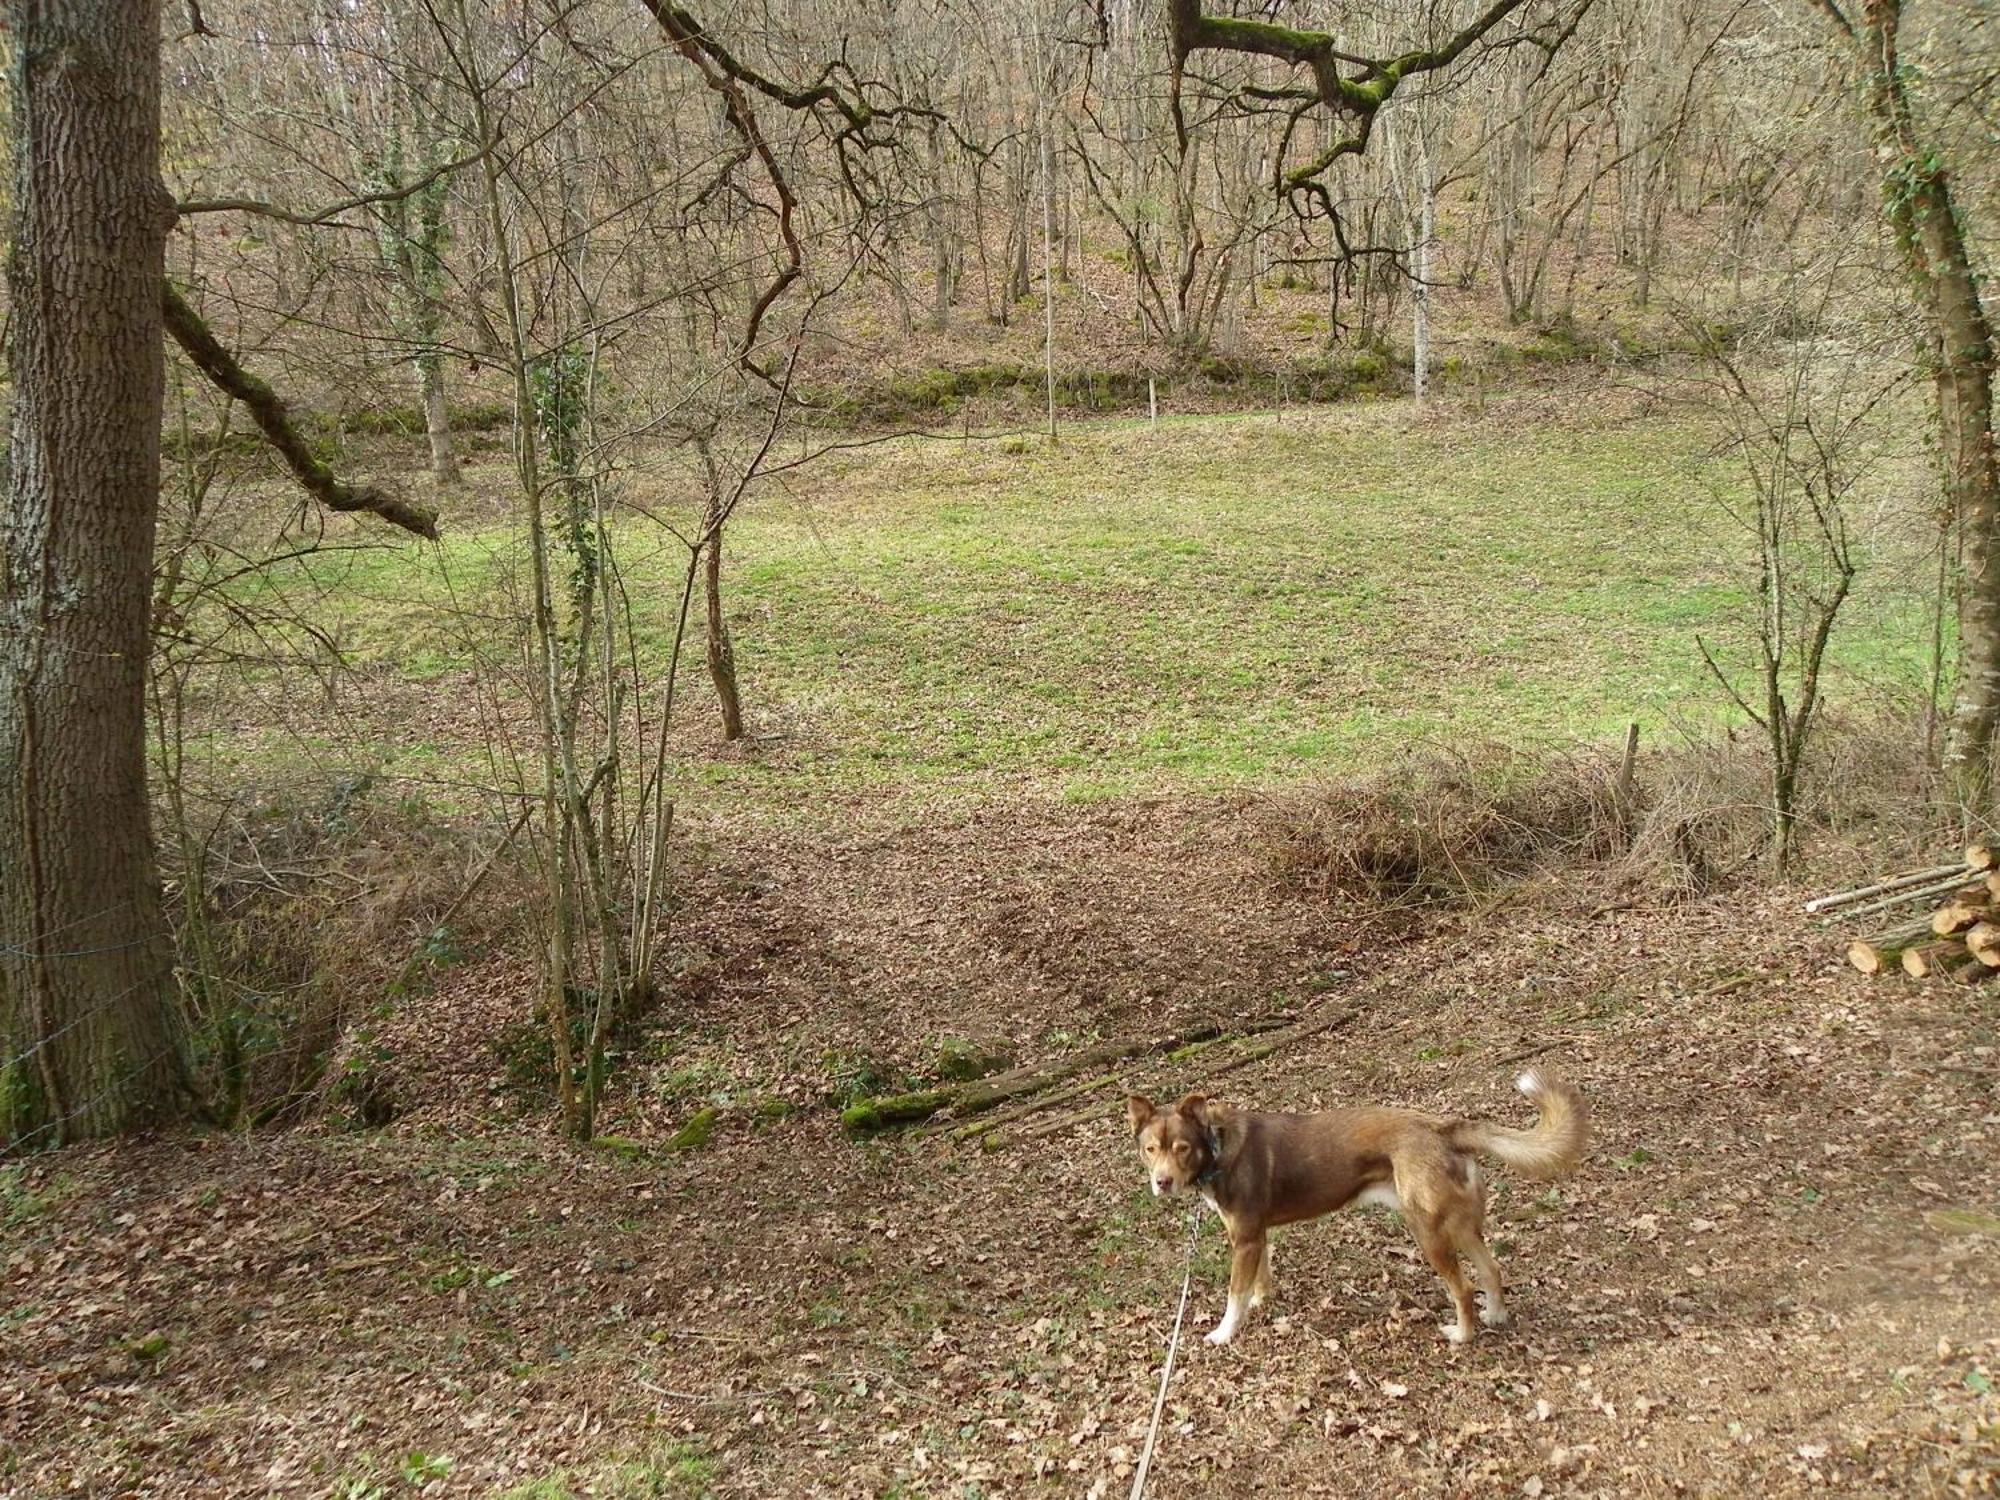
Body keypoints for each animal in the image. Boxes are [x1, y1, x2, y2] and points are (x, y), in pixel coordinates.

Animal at [1136, 1072, 1584, 1344]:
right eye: (1151, 1149)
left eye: (1182, 1148)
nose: (1162, 1183)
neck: (1216, 1146)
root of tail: (1442, 1127)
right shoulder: (1254, 1236)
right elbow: (1257, 1280)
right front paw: (1261, 1302)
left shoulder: (1245, 1238)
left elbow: (1234, 1294)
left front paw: (1224, 1333)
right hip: (1459, 1226)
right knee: (1492, 1269)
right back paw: (1495, 1316)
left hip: (1428, 1234)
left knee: (1463, 1287)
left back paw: (1462, 1335)